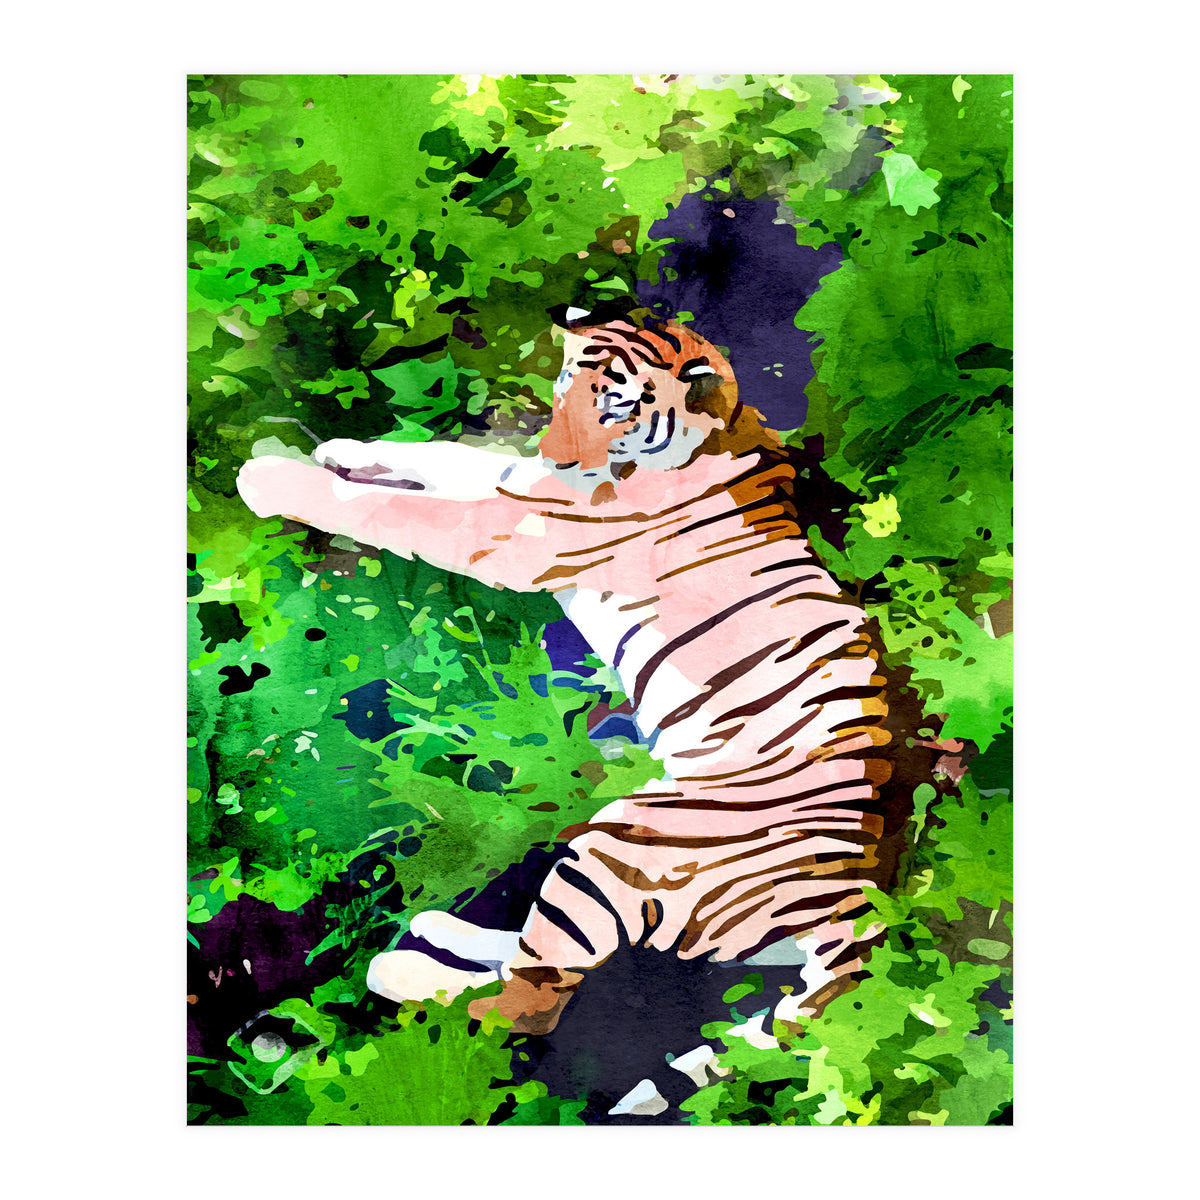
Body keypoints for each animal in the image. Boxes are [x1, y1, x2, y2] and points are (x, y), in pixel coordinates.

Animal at [236, 306, 938, 1036]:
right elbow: (450, 457)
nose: (559, 455)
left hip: (620, 848)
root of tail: (854, 903)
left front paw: (269, 477)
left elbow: (393, 508)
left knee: (527, 1002)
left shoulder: (514, 530)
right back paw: (438, 928)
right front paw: (342, 449)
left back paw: (398, 969)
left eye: (616, 409)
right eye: (565, 388)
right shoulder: (523, 488)